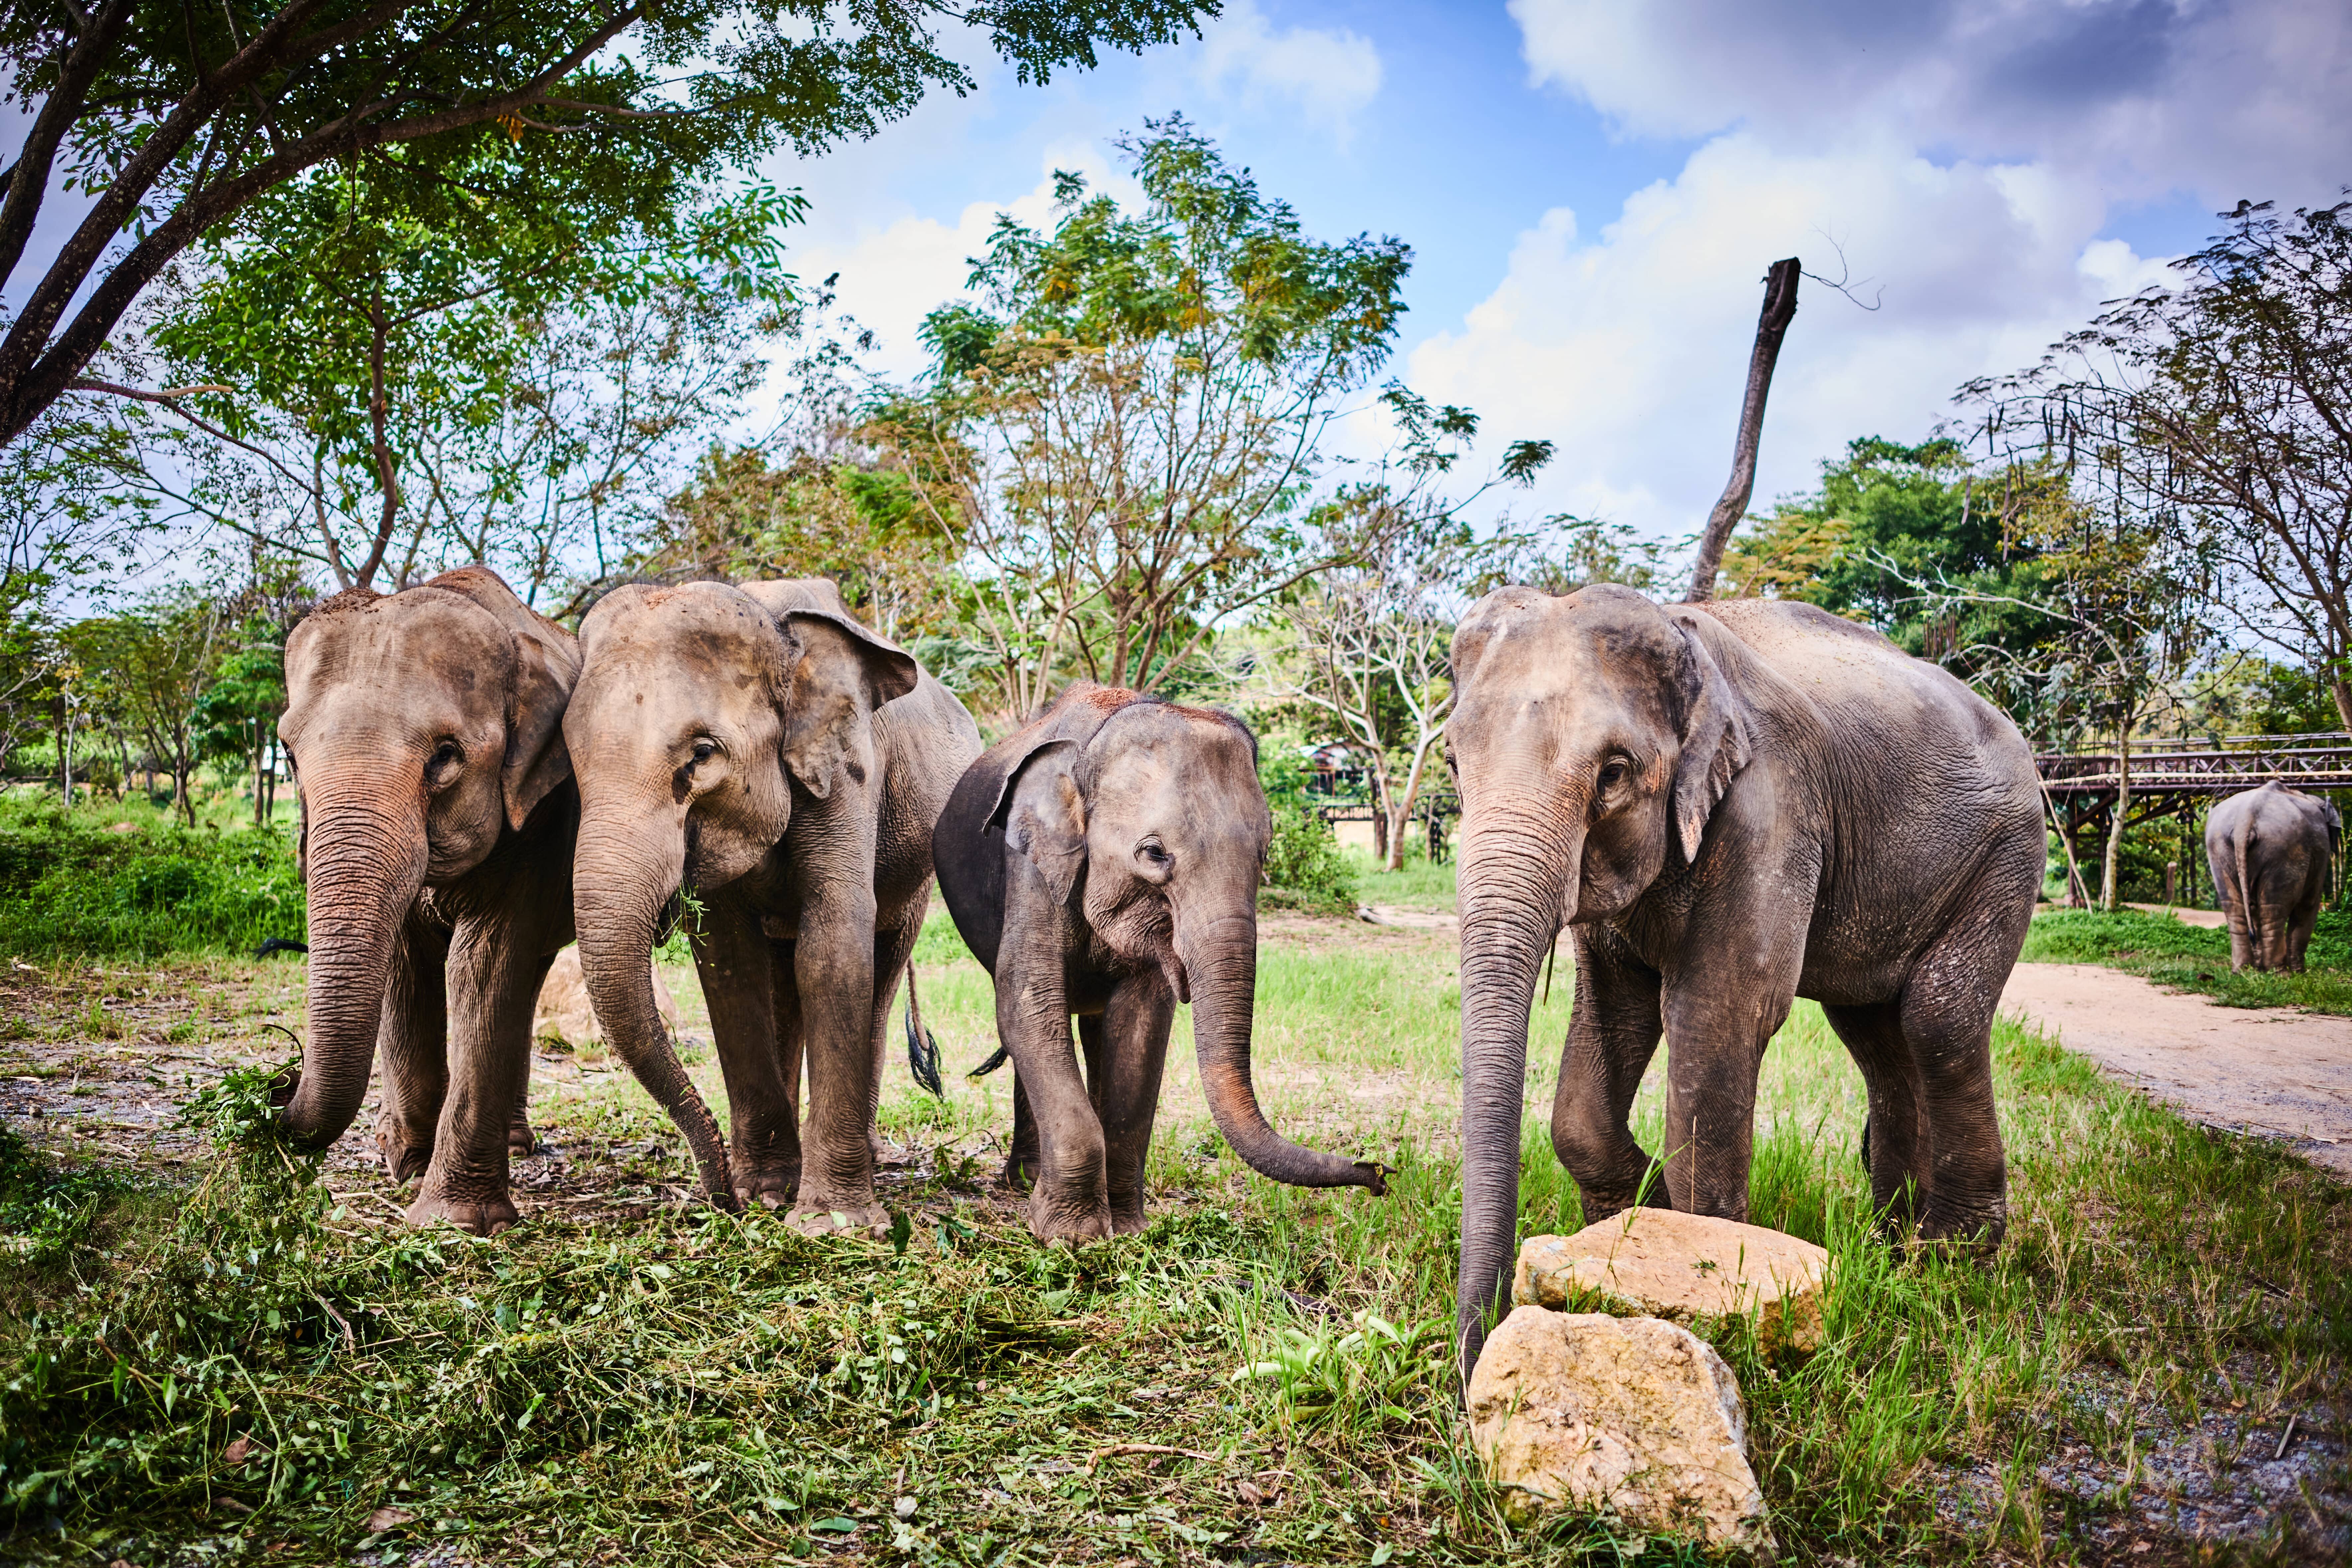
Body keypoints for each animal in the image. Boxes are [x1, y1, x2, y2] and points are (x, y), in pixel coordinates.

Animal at [274, 566, 579, 1234]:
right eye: (288, 753)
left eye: (445, 756)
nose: (277, 1085)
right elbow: (405, 965)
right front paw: (407, 1168)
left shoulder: (538, 824)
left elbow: (482, 967)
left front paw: (453, 1220)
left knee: (521, 974)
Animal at [562, 577, 981, 1232]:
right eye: (571, 759)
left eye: (702, 754)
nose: (717, 1201)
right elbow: (730, 967)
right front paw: (763, 1193)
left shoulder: (848, 774)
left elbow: (833, 951)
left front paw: (833, 1223)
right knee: (784, 982)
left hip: (919, 869)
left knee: (880, 972)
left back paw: (864, 1157)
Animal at [930, 684, 1387, 1243]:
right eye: (1153, 853)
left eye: (1264, 852)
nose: (1378, 1174)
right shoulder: (1032, 873)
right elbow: (1028, 1007)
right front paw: (1072, 1237)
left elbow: (1140, 1028)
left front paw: (1127, 1230)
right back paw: (1024, 1181)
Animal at [1445, 584, 2045, 1375]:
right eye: (1453, 764)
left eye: (1612, 773)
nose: (1471, 1362)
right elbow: (1614, 1013)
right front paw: (1636, 1212)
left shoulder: (1771, 809)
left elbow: (1719, 1013)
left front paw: (1702, 1278)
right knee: (1874, 1033)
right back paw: (1890, 1243)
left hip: (2009, 850)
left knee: (1937, 1018)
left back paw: (1950, 1261)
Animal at [2206, 782, 2340, 972]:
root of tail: (2245, 819)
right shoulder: (2321, 855)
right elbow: (2309, 903)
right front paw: (2299, 972)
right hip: (2283, 850)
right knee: (2273, 909)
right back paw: (2279, 972)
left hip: (2218, 848)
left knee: (2235, 909)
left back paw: (2243, 970)